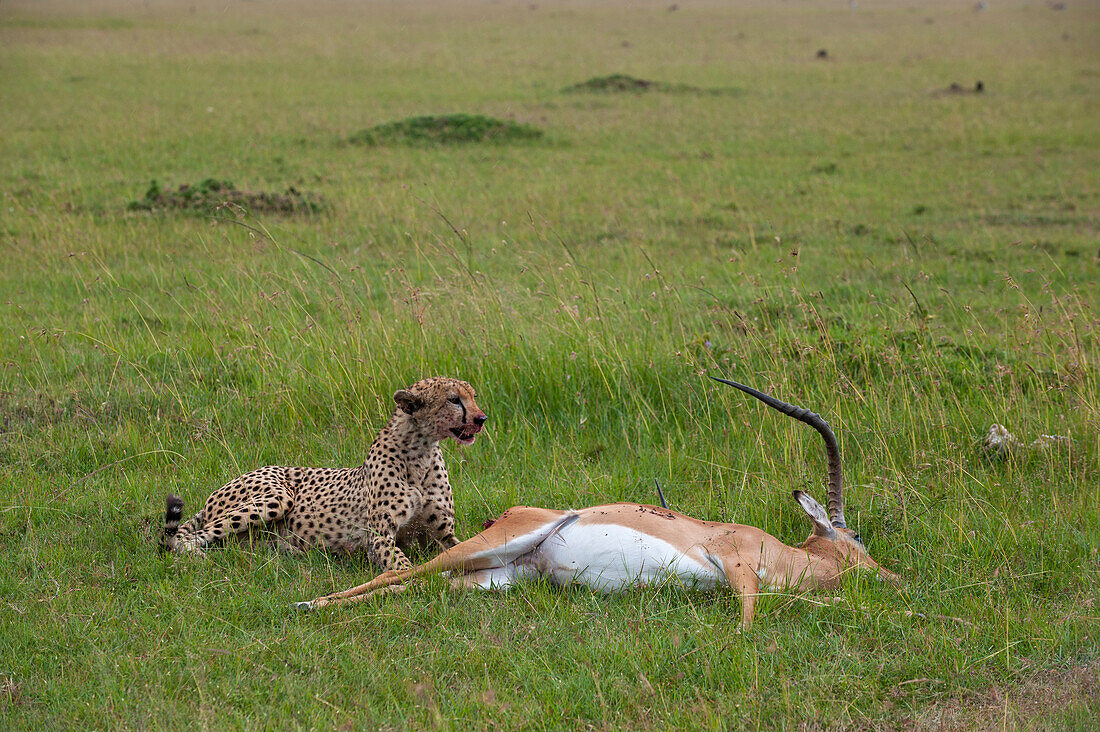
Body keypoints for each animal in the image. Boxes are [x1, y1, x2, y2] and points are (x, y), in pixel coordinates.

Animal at [160, 376, 488, 572]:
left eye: (473, 396)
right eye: (453, 399)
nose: (481, 418)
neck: (421, 450)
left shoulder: (443, 535)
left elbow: (473, 547)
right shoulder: (379, 538)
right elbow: (404, 567)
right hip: (276, 497)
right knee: (188, 537)